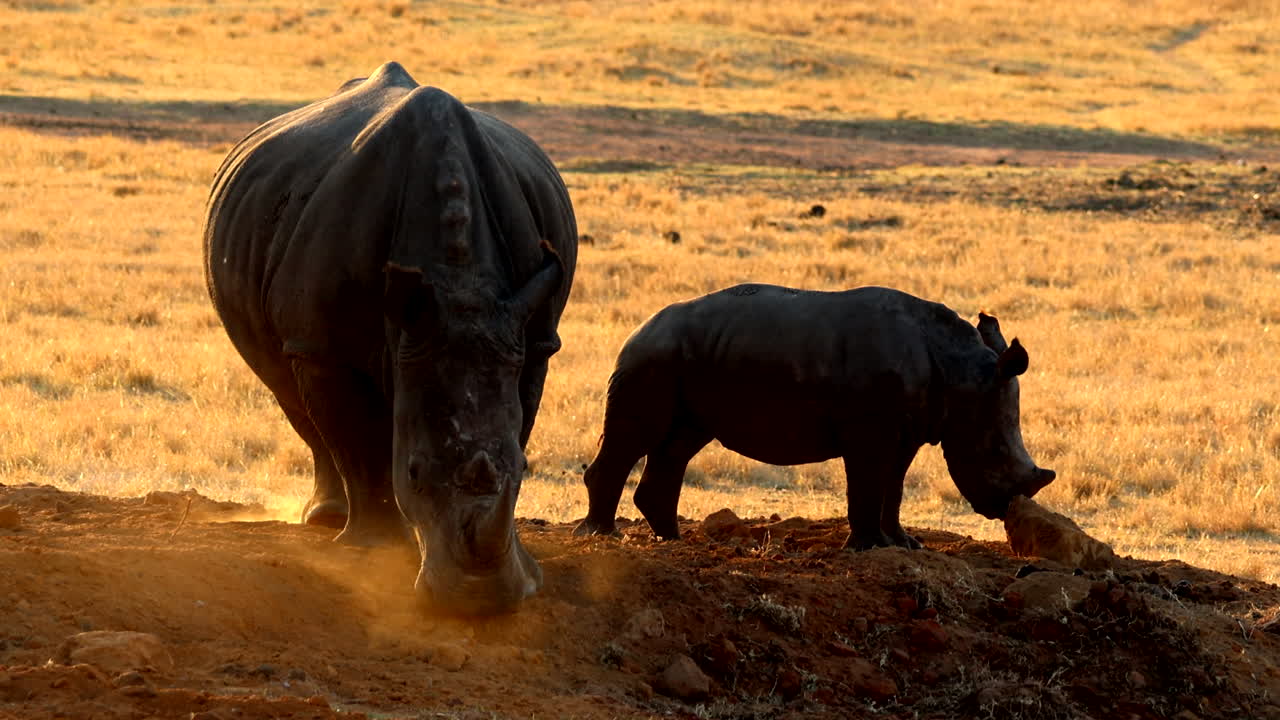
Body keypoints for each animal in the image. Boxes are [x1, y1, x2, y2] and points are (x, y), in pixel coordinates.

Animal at [203, 62, 577, 615]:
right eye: (415, 472)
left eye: (530, 469)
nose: (479, 599)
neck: (459, 282)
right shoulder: (324, 346)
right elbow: (355, 440)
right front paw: (374, 550)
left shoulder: (529, 338)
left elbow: (517, 426)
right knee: (289, 392)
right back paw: (327, 521)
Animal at [573, 284, 1055, 550]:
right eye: (994, 450)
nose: (1002, 510)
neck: (961, 370)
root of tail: (638, 328)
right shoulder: (870, 432)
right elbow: (867, 485)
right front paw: (867, 548)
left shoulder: (908, 432)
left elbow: (894, 487)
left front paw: (904, 545)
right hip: (652, 357)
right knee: (636, 437)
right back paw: (600, 537)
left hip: (684, 358)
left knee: (679, 444)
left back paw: (671, 539)